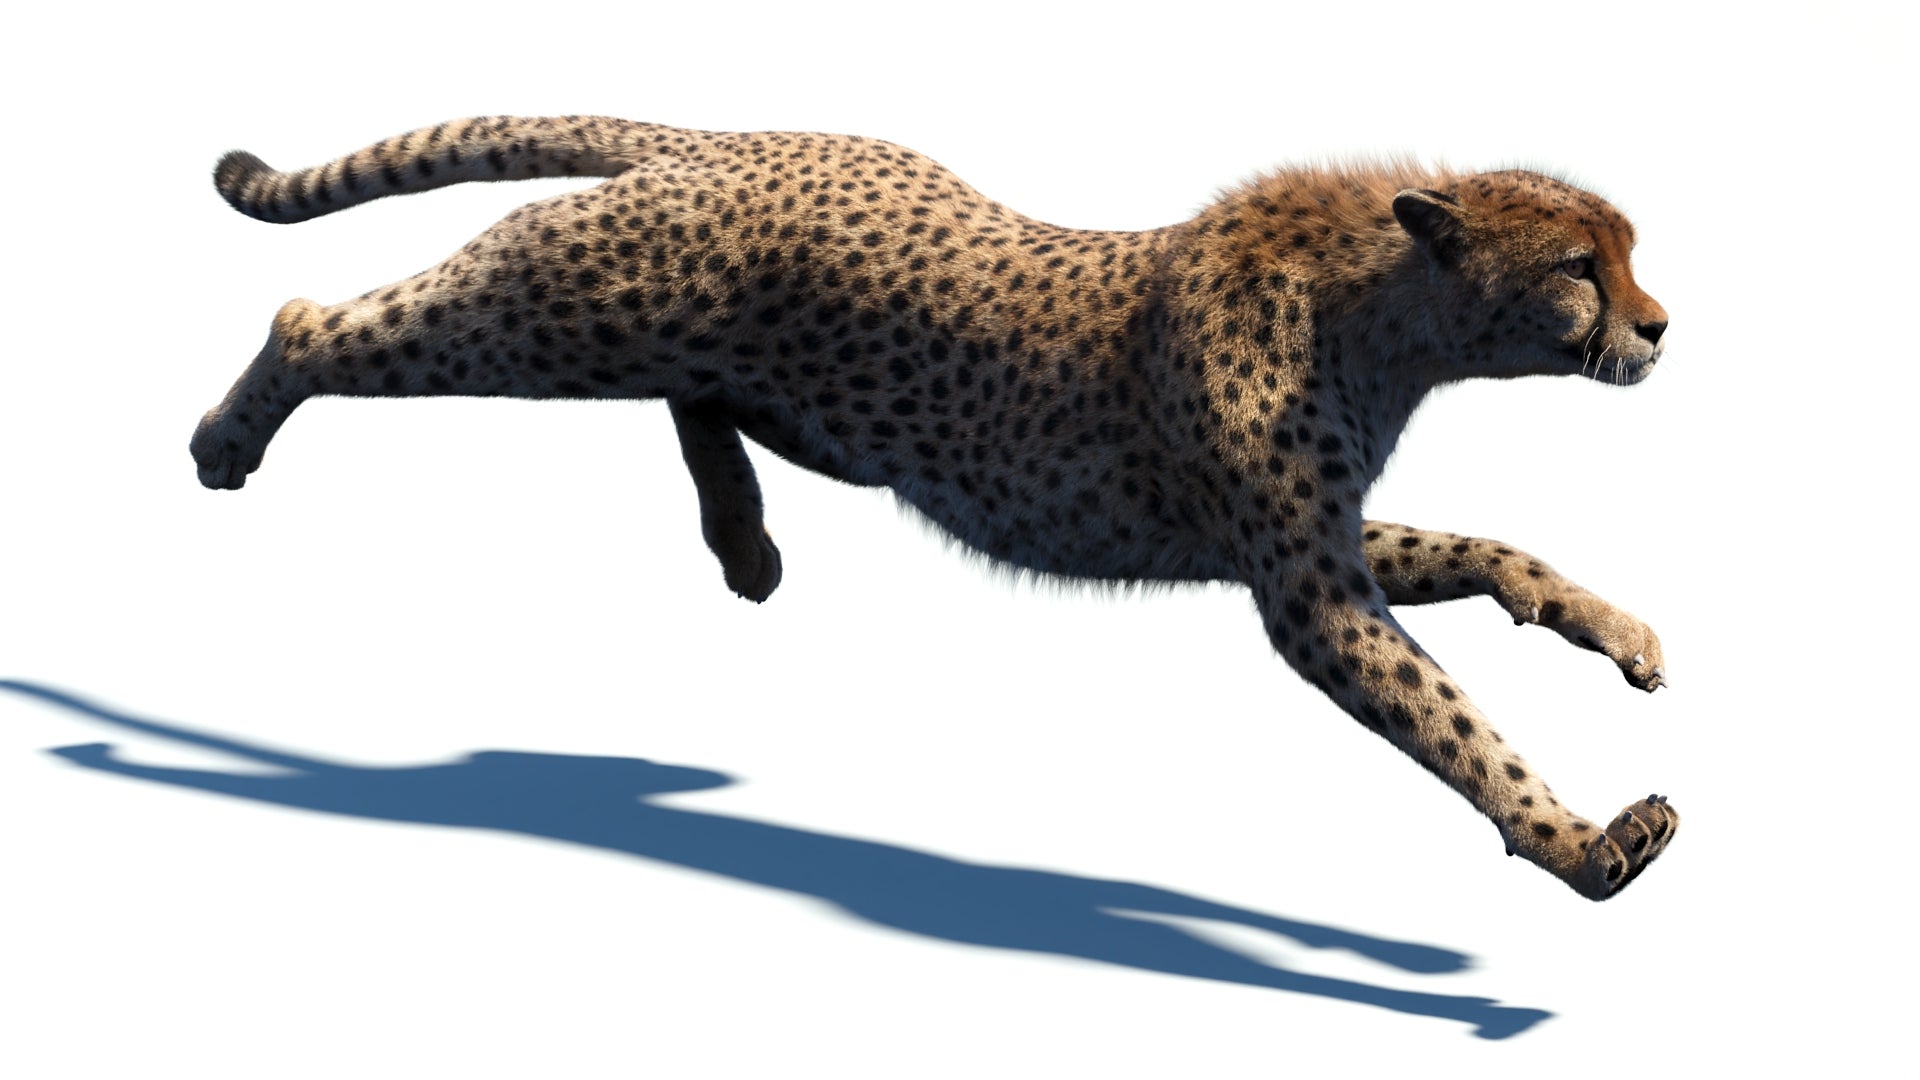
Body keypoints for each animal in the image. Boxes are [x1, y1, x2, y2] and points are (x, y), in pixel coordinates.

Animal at [196, 115, 1677, 900]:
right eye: (1577, 266)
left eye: (1626, 252)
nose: (1661, 326)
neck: (1388, 310)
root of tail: (729, 136)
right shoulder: (1302, 588)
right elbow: (1454, 724)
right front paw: (1583, 842)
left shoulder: (1305, 540)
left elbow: (1485, 548)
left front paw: (1610, 627)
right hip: (563, 317)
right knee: (319, 319)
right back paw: (222, 441)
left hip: (801, 403)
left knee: (696, 403)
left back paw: (744, 543)